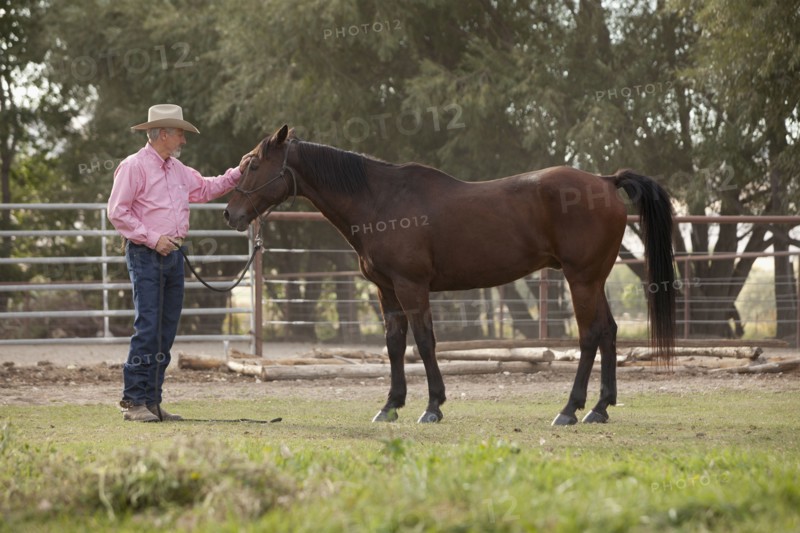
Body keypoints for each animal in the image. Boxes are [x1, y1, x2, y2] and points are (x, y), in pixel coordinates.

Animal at [224, 125, 676, 425]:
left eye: (253, 164)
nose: (230, 214)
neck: (380, 200)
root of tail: (605, 181)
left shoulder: (411, 287)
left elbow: (424, 343)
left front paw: (433, 406)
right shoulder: (387, 291)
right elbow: (394, 345)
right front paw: (391, 405)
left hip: (581, 279)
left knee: (590, 335)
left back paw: (569, 410)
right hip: (594, 279)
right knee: (609, 332)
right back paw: (600, 408)